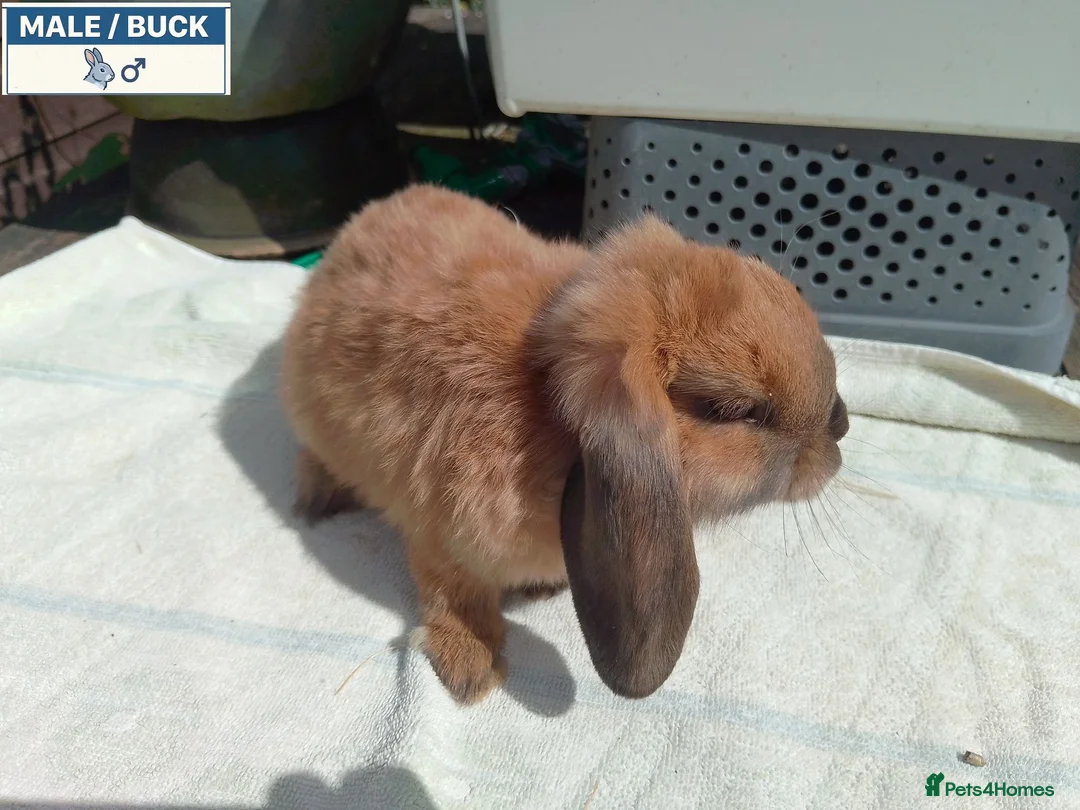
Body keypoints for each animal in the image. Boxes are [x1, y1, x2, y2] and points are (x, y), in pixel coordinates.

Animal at [280, 184, 849, 704]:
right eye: (731, 409)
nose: (841, 426)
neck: (544, 412)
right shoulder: (440, 540)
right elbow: (454, 595)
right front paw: (472, 672)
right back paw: (315, 501)